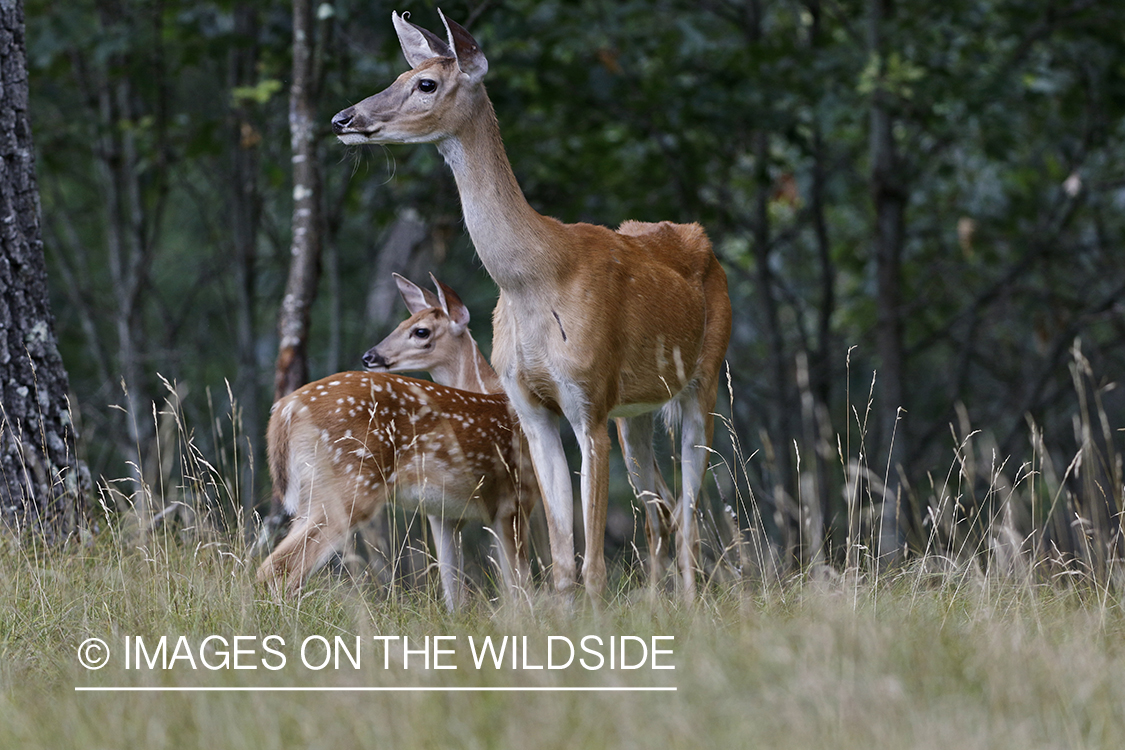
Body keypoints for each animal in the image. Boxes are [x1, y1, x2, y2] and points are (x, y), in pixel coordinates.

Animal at [257, 274, 536, 610]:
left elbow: (456, 592)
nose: (370, 356)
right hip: (352, 483)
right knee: (281, 565)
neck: (494, 391)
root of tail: (284, 410)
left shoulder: (446, 513)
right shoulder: (514, 497)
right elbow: (520, 589)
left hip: (312, 494)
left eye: (420, 331)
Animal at [331, 11, 732, 602]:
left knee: (688, 512)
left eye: (425, 83)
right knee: (661, 512)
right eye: (398, 75)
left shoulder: (588, 397)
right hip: (635, 414)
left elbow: (592, 566)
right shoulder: (530, 405)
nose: (343, 118)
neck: (536, 276)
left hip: (703, 382)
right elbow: (563, 563)